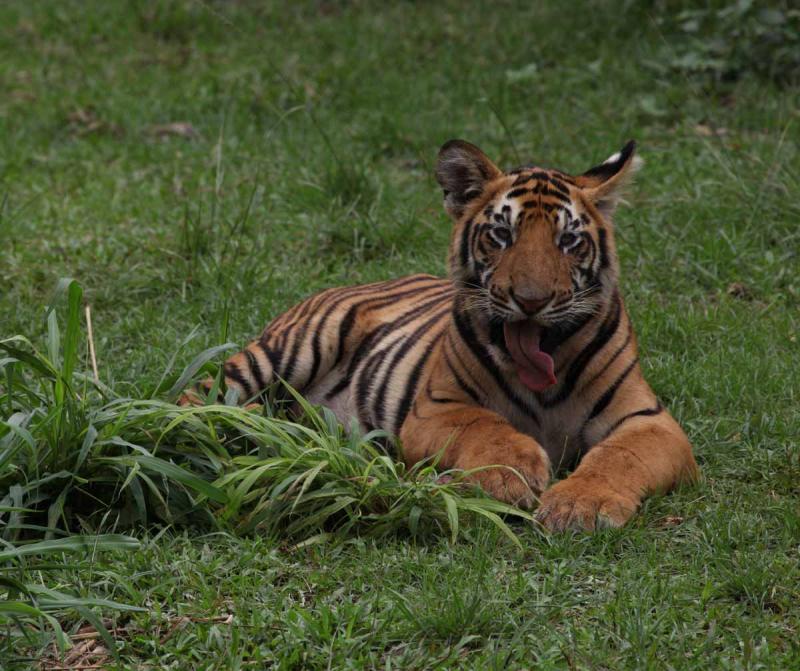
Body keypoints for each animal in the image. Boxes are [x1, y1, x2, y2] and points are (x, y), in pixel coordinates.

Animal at [181, 139, 700, 532]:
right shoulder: (436, 409)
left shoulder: (650, 421)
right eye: (502, 235)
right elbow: (485, 427)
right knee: (201, 396)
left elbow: (619, 456)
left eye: (568, 241)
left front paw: (579, 506)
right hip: (291, 347)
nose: (531, 300)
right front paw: (511, 474)